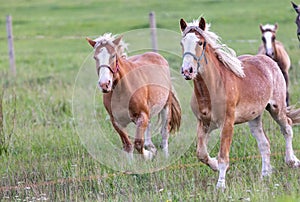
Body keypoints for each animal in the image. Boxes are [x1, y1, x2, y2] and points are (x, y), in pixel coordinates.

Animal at [86, 33, 180, 161]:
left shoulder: (142, 115)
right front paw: (133, 163)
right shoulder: (117, 122)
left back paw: (165, 156)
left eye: (113, 55)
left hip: (165, 107)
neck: (121, 91)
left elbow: (138, 144)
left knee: (164, 133)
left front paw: (149, 155)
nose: (104, 84)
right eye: (95, 57)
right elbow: (128, 145)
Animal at [179, 17, 300, 189]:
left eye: (201, 42)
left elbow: (223, 156)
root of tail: (269, 59)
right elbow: (201, 154)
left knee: (287, 127)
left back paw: (292, 161)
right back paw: (265, 175)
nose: (187, 71)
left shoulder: (227, 124)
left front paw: (220, 186)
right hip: (254, 118)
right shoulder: (204, 123)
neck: (211, 89)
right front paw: (214, 165)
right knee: (264, 144)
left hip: (277, 108)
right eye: (182, 43)